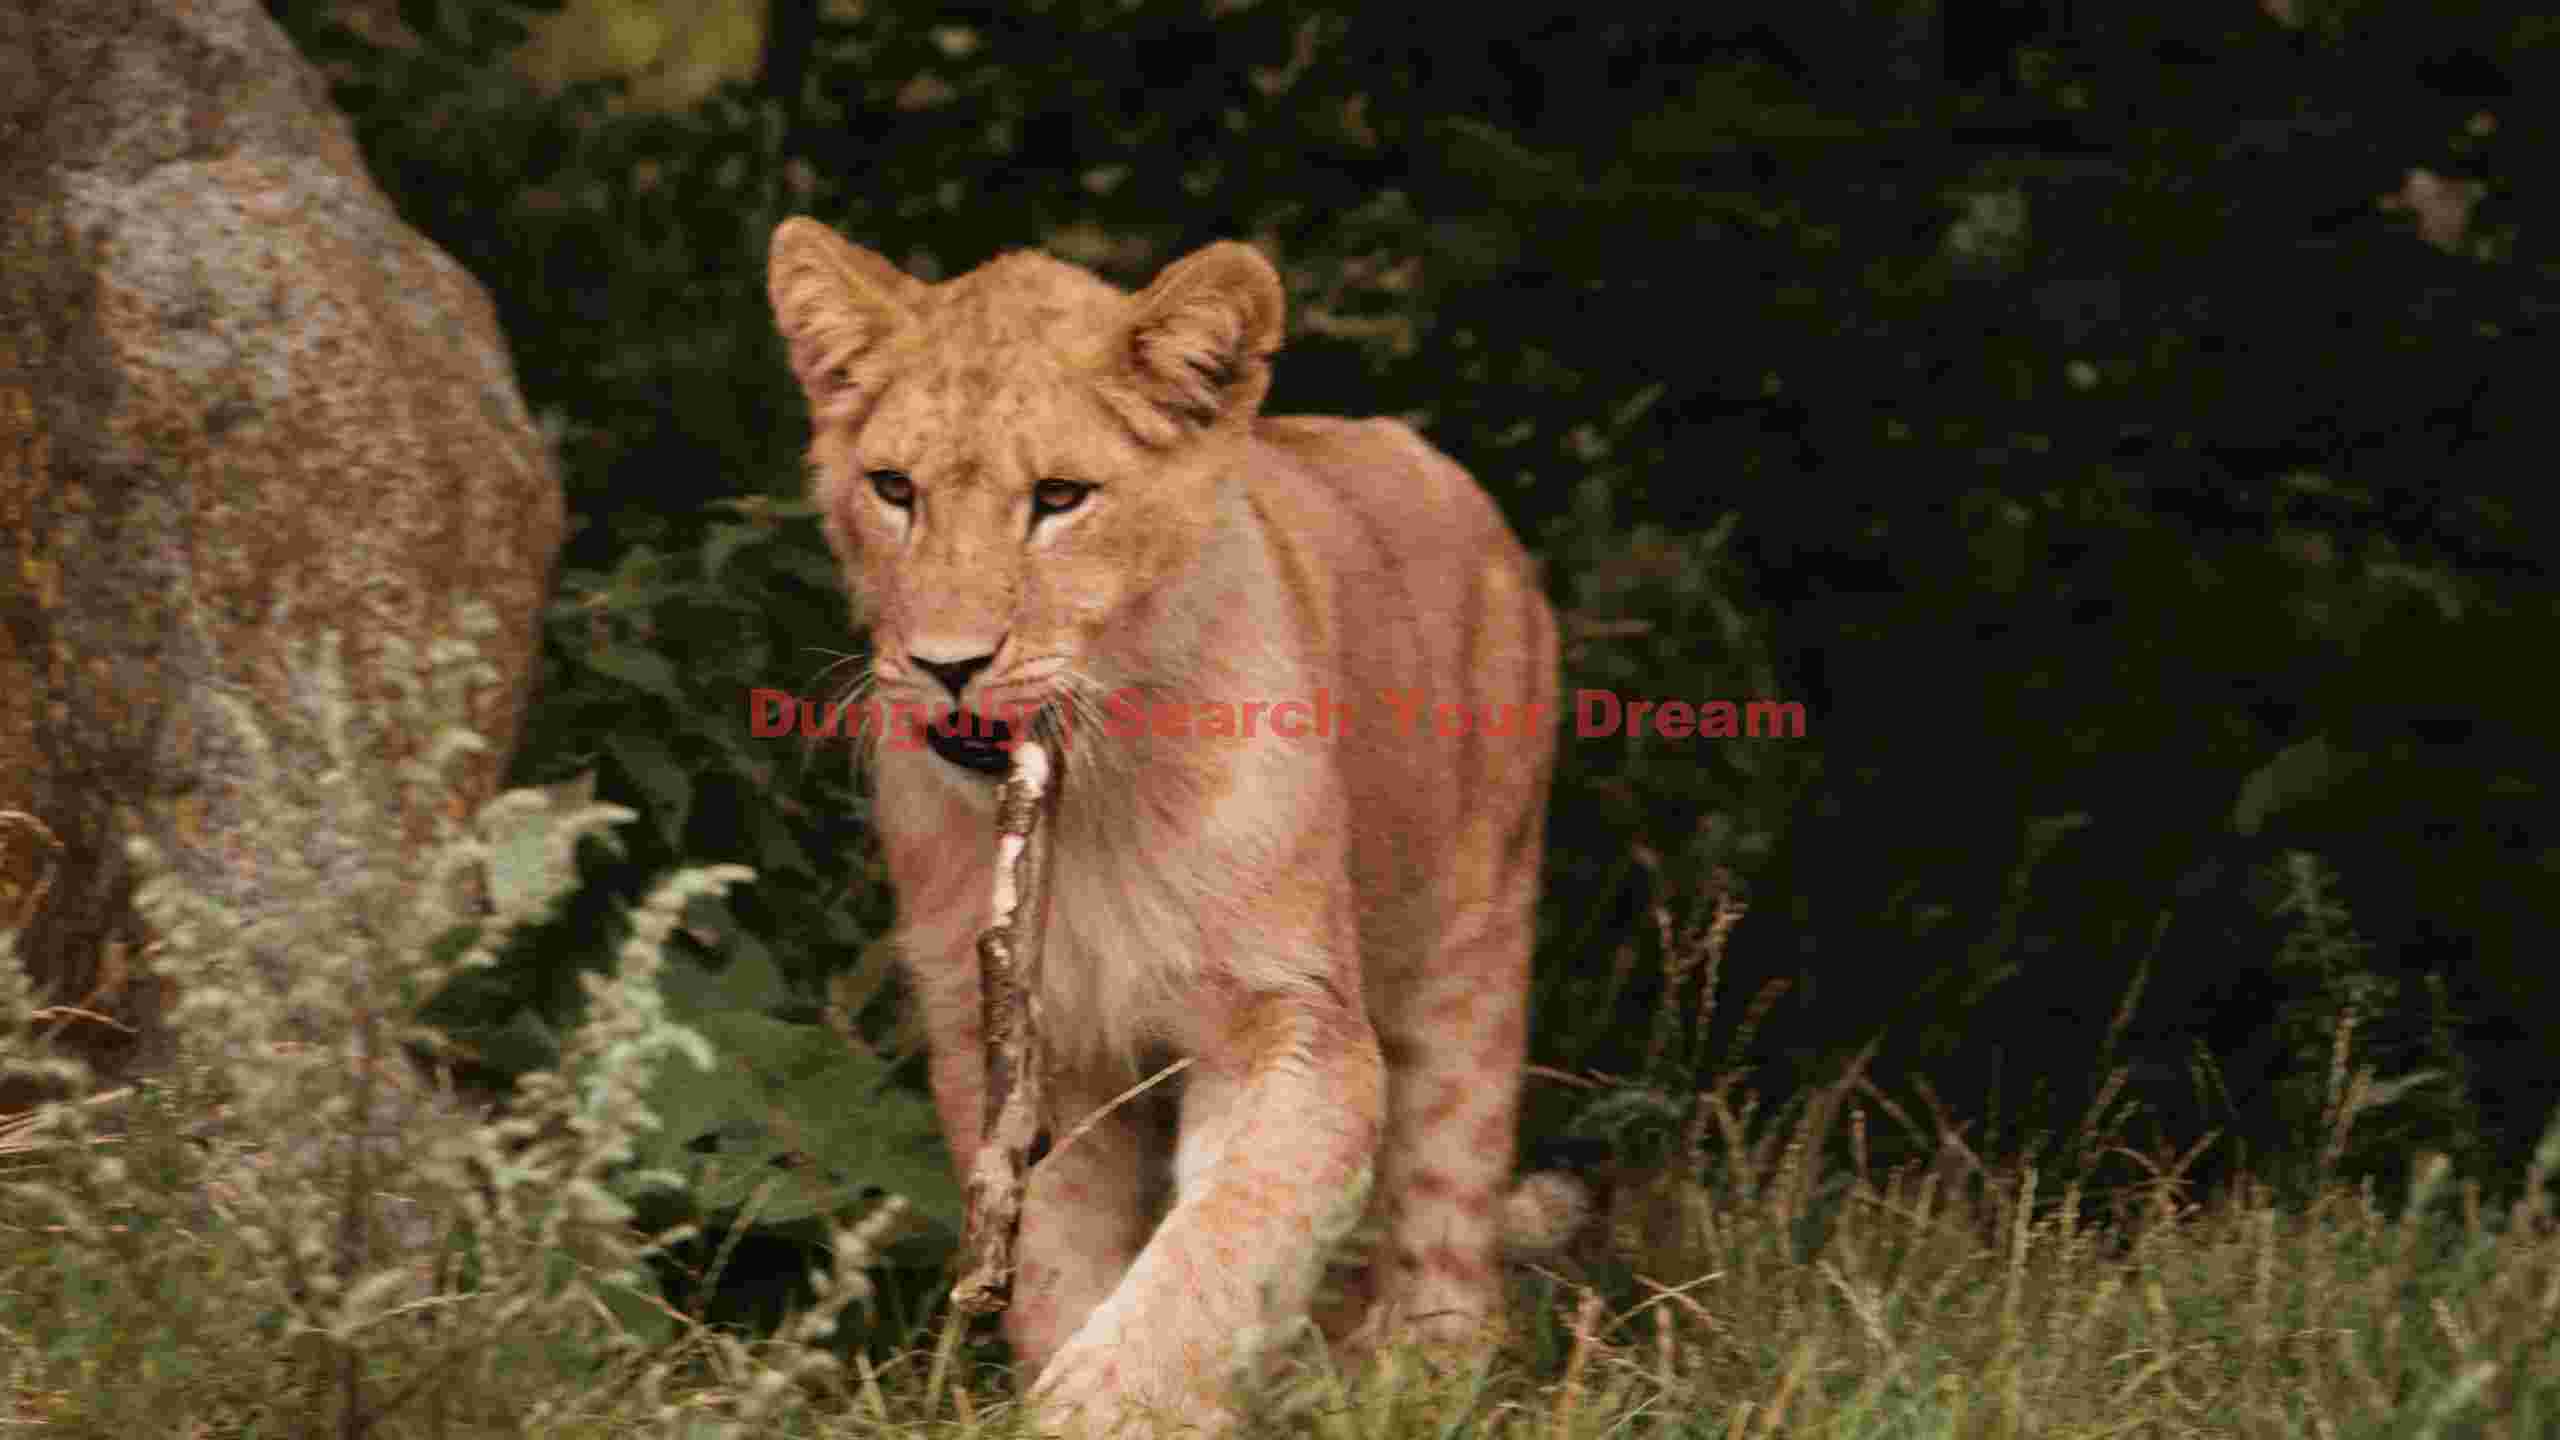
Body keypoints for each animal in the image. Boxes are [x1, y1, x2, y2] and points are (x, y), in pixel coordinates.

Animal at [767, 218, 1560, 1436]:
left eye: (1059, 497)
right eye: (893, 488)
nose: (948, 664)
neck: (1095, 798)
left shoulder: (1293, 1020)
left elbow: (1226, 1240)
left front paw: (1112, 1404)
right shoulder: (1015, 1046)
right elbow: (1058, 1261)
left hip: (1471, 947)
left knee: (1448, 1209)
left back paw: (1426, 1376)